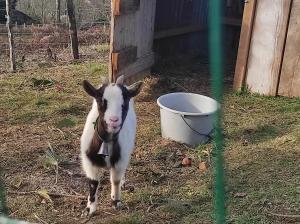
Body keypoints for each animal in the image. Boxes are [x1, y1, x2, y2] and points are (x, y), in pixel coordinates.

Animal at [79, 75, 143, 215]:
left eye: (125, 103)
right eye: (101, 101)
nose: (114, 120)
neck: (106, 141)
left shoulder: (120, 160)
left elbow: (115, 180)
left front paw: (115, 201)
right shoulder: (89, 162)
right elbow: (93, 183)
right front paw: (90, 209)